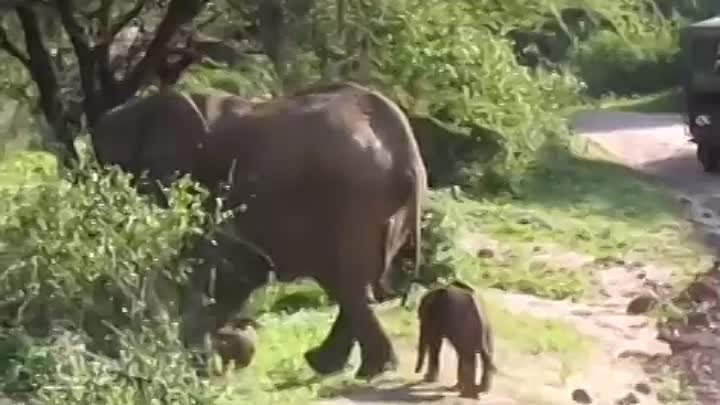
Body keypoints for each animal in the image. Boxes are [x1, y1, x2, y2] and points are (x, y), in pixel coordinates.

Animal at [90, 82, 428, 378]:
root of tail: (406, 154)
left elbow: (208, 261)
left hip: (348, 200)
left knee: (346, 283)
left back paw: (363, 369)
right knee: (356, 284)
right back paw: (338, 365)